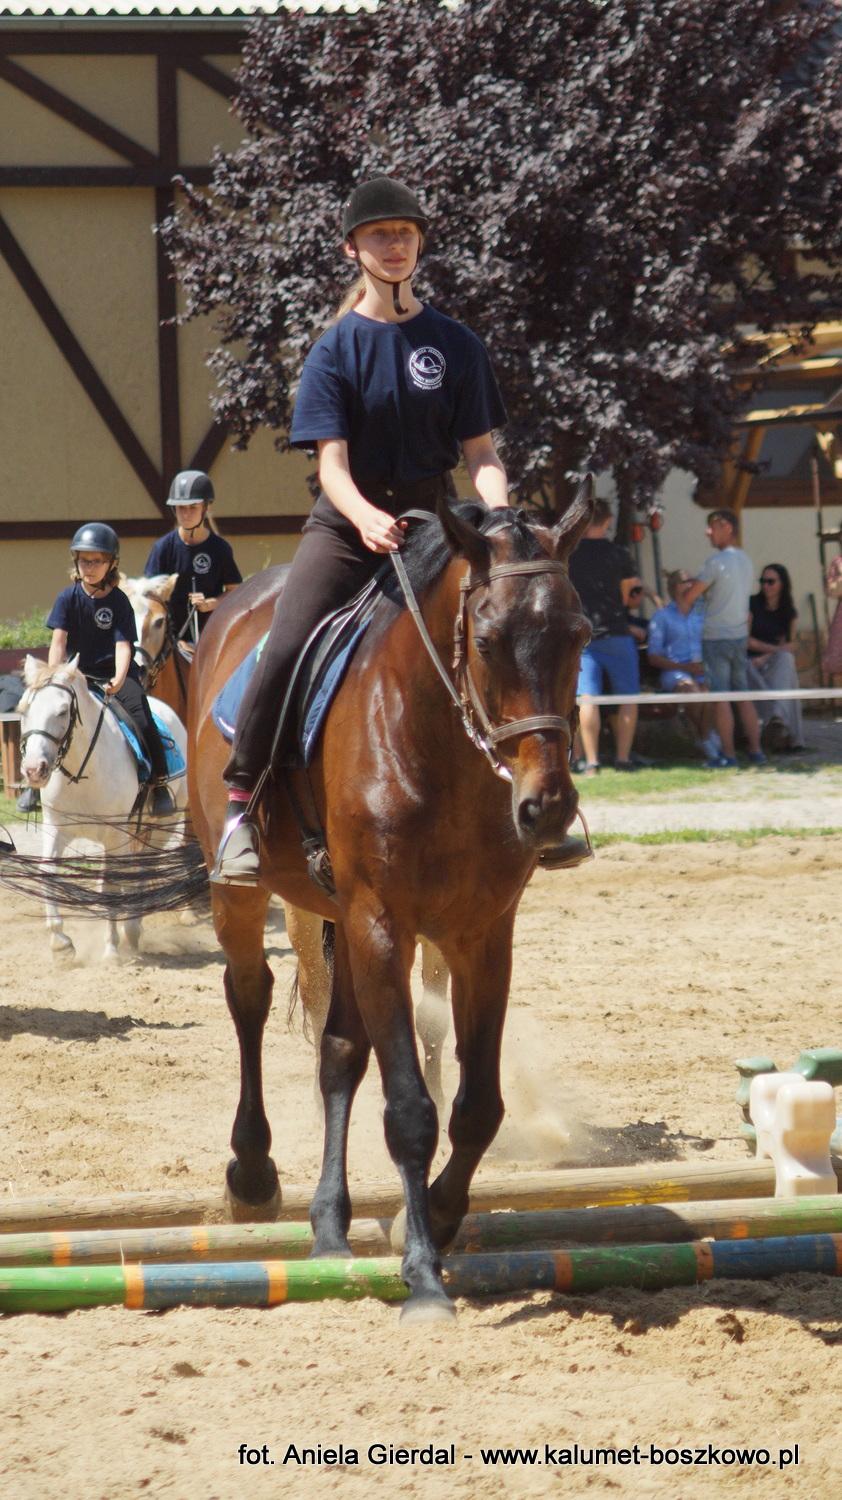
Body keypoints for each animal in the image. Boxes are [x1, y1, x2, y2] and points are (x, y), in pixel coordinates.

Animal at [17, 656, 188, 961]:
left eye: (62, 711)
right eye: (24, 709)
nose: (34, 770)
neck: (82, 772)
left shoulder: (114, 834)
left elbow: (109, 883)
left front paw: (111, 948)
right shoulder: (56, 828)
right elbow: (48, 874)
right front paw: (61, 943)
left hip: (163, 825)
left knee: (144, 868)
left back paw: (132, 929)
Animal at [188, 483, 593, 1320]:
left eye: (580, 634)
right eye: (488, 641)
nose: (546, 808)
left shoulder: (480, 936)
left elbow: (476, 1106)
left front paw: (433, 1215)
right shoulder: (380, 923)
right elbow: (410, 1109)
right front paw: (424, 1277)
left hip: (343, 919)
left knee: (340, 1052)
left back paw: (329, 1225)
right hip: (246, 897)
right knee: (250, 997)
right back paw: (253, 1173)